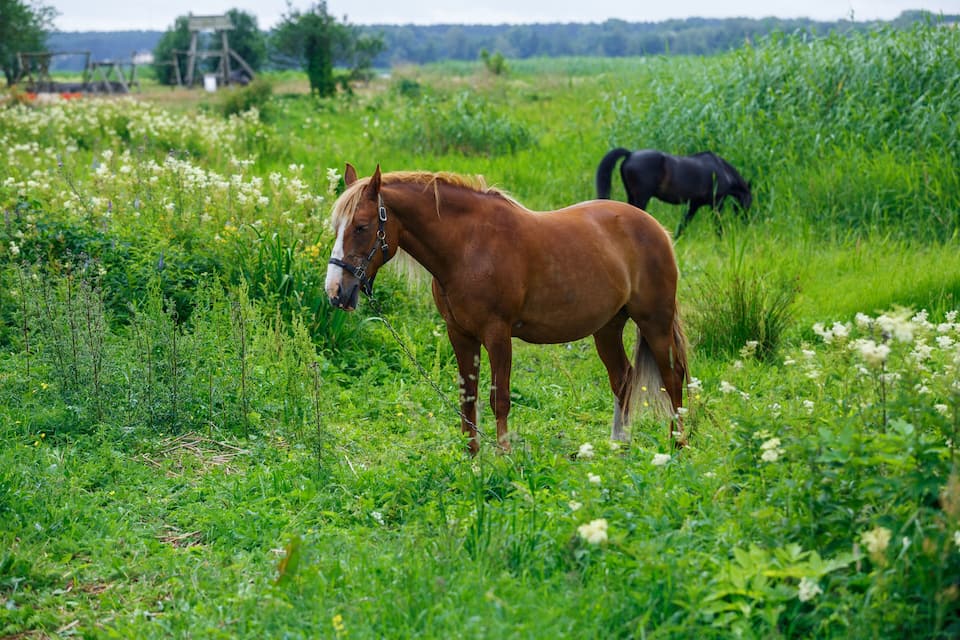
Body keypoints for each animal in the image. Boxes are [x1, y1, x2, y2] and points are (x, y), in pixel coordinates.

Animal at [325, 164, 688, 455]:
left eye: (361, 226)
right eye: (336, 227)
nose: (335, 291)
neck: (468, 247)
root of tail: (656, 228)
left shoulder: (498, 335)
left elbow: (498, 399)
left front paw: (503, 456)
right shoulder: (460, 335)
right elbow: (468, 397)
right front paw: (470, 456)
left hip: (655, 322)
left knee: (673, 378)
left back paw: (678, 445)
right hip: (608, 327)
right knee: (623, 378)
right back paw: (618, 447)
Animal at [595, 148, 752, 238]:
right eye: (749, 202)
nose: (745, 222)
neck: (723, 171)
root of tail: (631, 154)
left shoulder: (694, 204)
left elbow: (684, 223)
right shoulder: (717, 202)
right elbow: (717, 223)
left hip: (632, 195)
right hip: (642, 197)